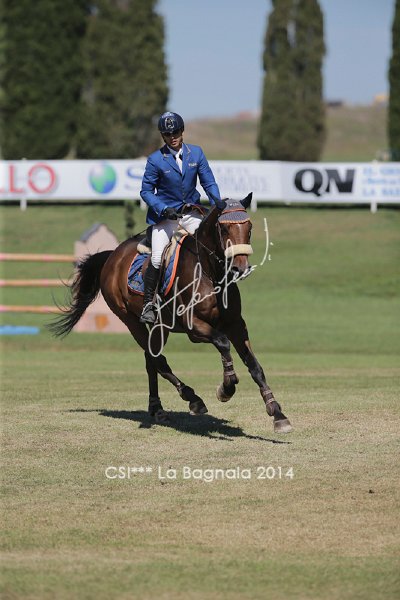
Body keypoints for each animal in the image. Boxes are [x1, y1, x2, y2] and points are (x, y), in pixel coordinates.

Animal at [49, 193, 292, 433]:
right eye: (223, 229)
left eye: (249, 227)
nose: (239, 269)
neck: (211, 273)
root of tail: (113, 256)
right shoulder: (194, 328)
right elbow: (223, 343)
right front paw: (226, 388)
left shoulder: (236, 324)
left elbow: (254, 365)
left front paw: (277, 414)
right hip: (130, 321)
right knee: (159, 360)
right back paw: (192, 398)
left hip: (160, 327)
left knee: (151, 359)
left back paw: (157, 408)